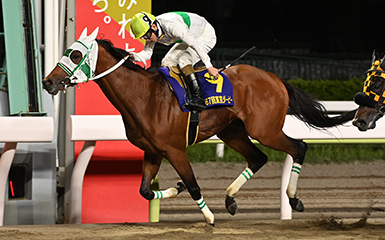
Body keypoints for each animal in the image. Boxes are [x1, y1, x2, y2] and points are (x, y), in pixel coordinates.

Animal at [41, 28, 354, 225]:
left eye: (75, 55)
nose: (48, 81)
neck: (144, 96)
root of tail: (275, 78)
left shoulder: (175, 150)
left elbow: (193, 185)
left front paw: (209, 218)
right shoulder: (152, 151)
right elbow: (145, 190)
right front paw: (175, 189)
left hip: (265, 130)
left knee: (298, 147)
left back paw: (294, 199)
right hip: (232, 131)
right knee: (258, 158)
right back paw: (230, 199)